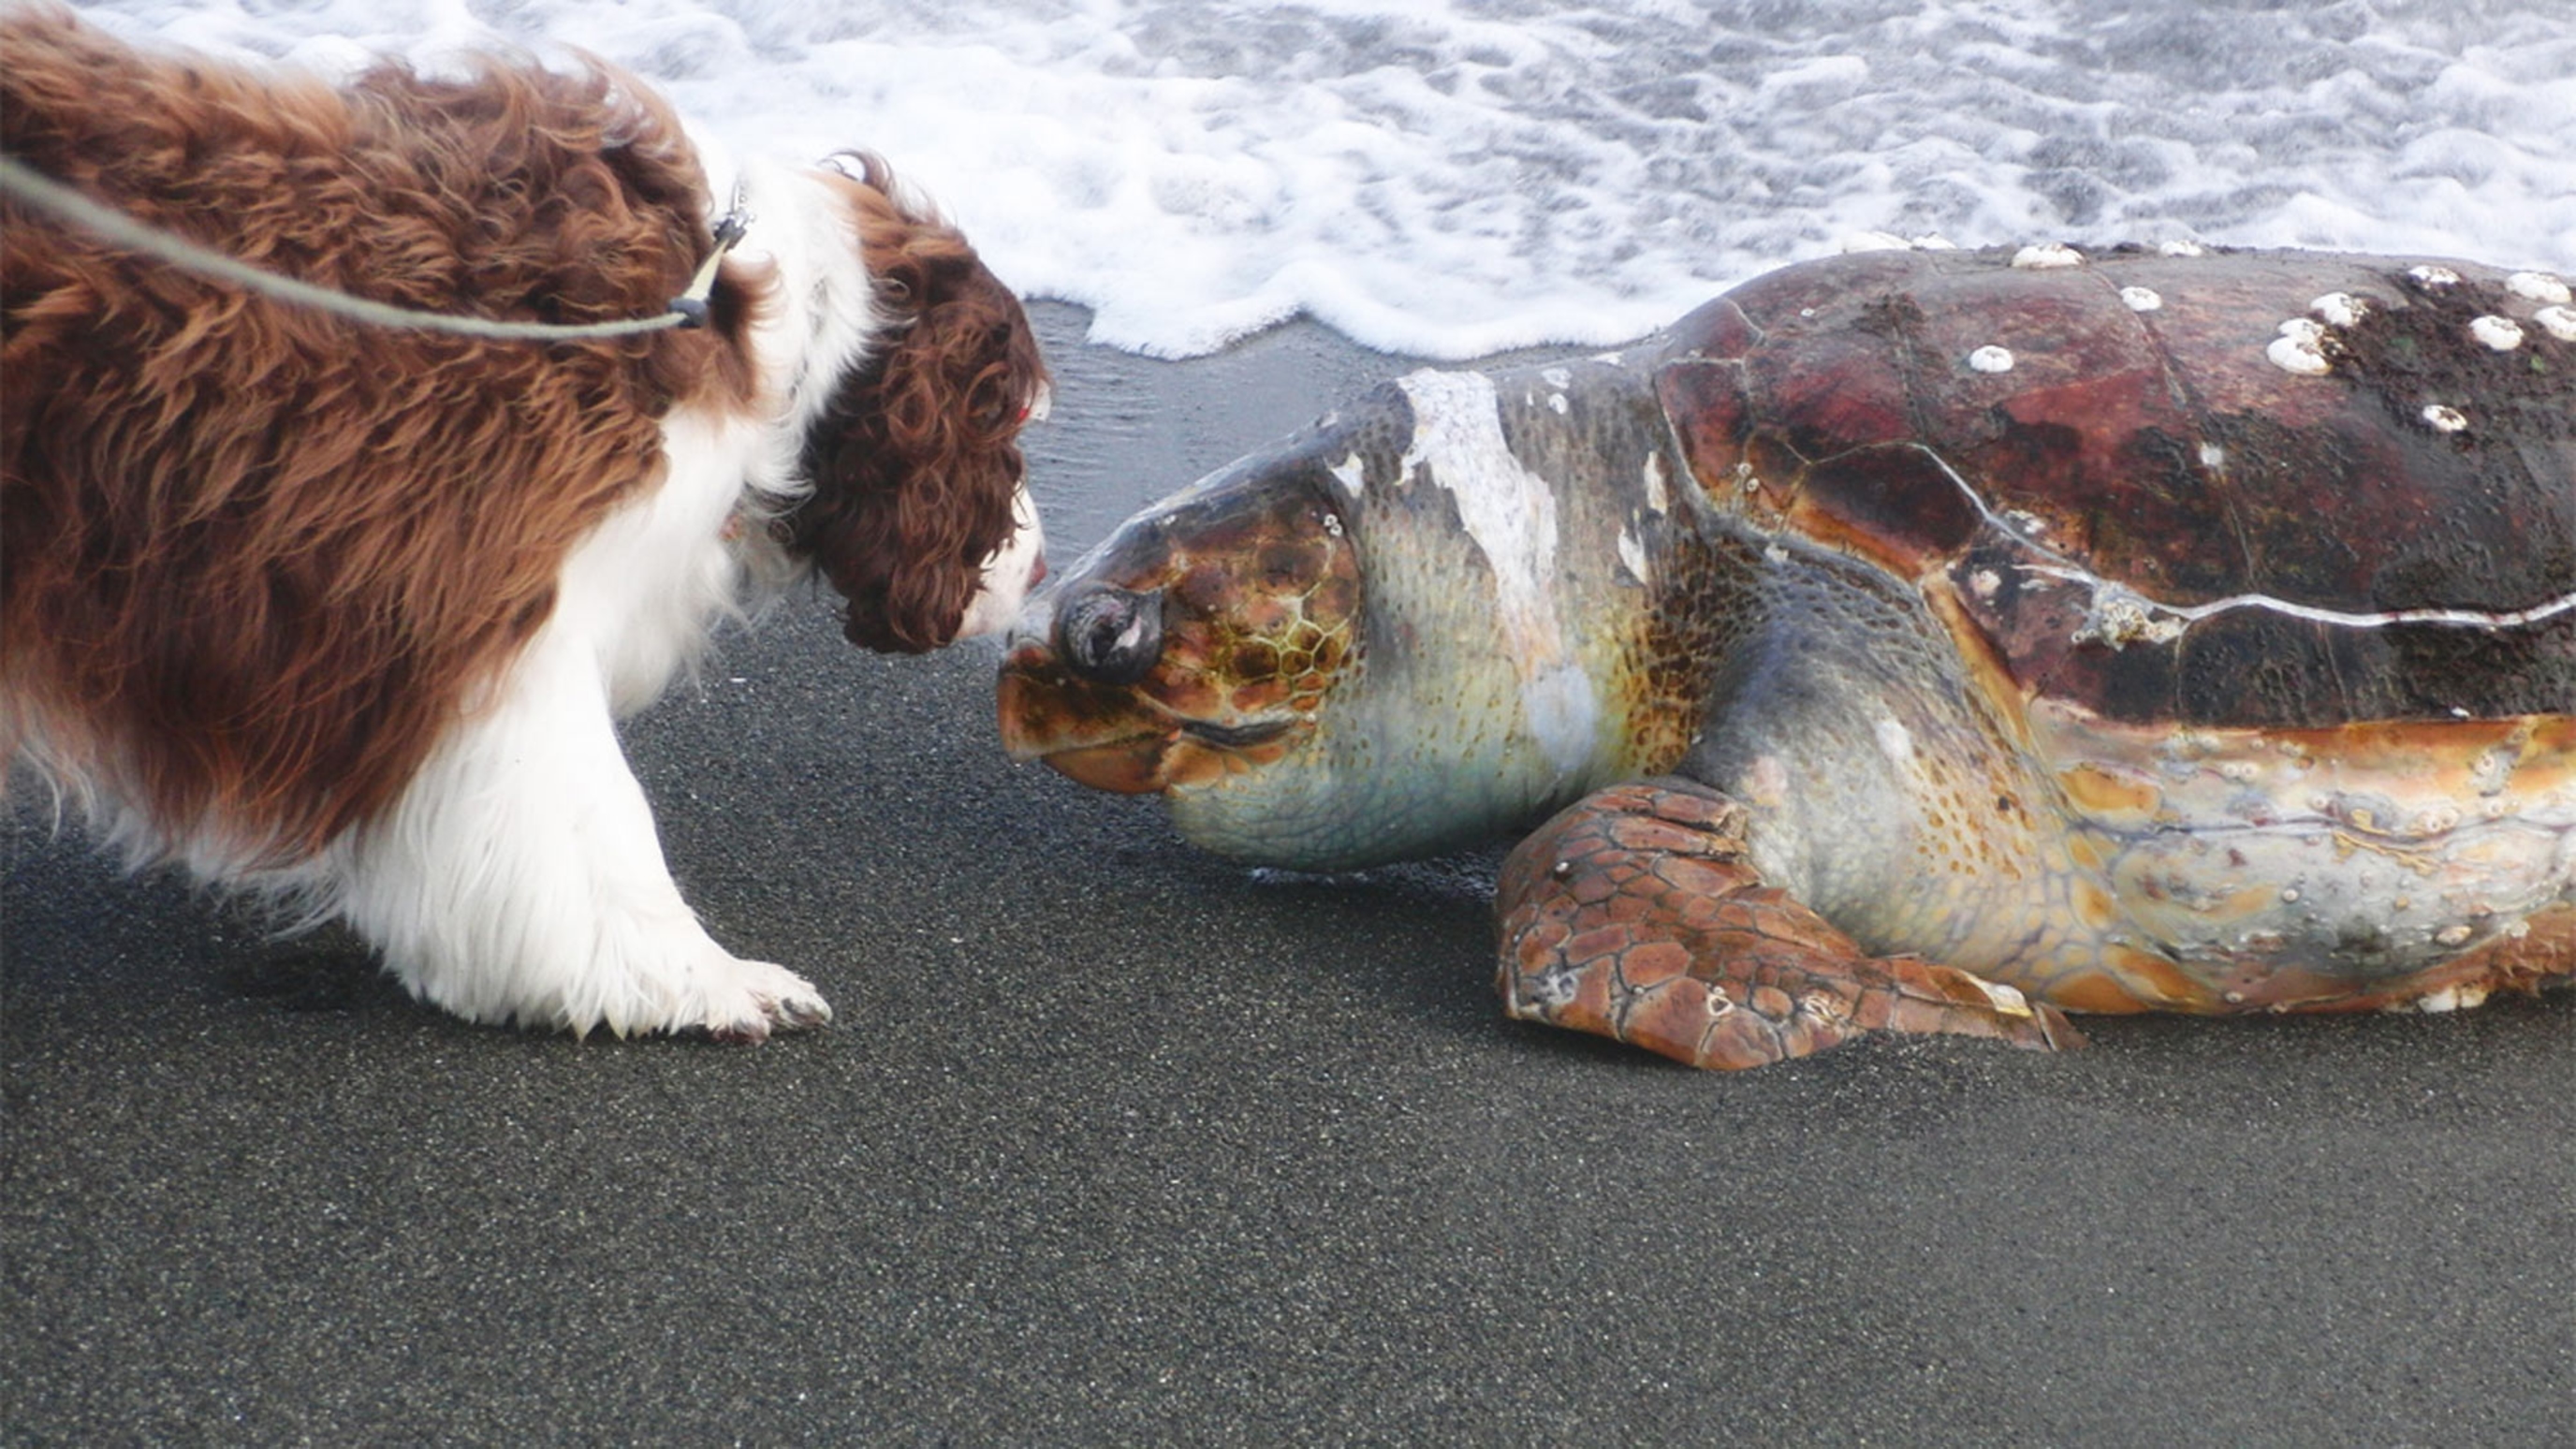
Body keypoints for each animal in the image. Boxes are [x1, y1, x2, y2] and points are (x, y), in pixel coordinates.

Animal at [2, 6, 1046, 1031]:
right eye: (1011, 420)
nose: (1038, 570)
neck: (750, 310)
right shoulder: (495, 606)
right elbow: (593, 817)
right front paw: (695, 976)